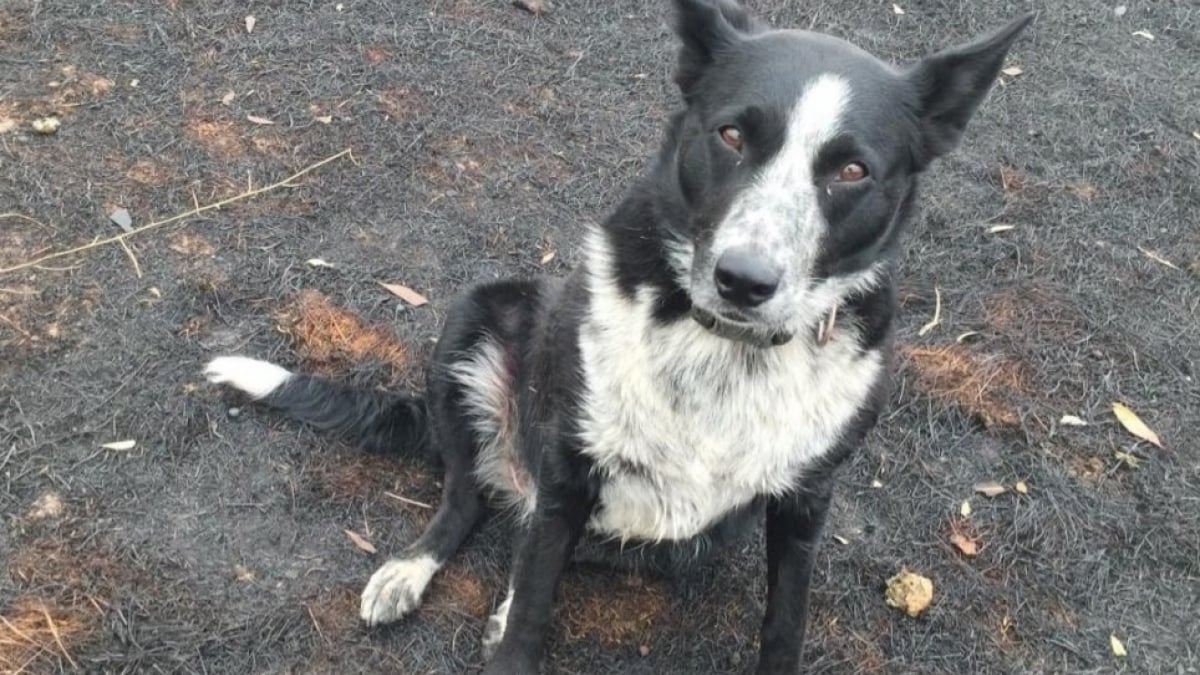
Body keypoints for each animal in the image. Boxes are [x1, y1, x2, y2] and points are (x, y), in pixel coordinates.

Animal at [204, 2, 1032, 667]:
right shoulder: (570, 470)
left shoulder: (804, 506)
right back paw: (413, 569)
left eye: (852, 170)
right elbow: (530, 618)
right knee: (468, 497)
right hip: (475, 319)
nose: (744, 279)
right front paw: (511, 622)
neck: (724, 350)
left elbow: (783, 625)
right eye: (731, 133)